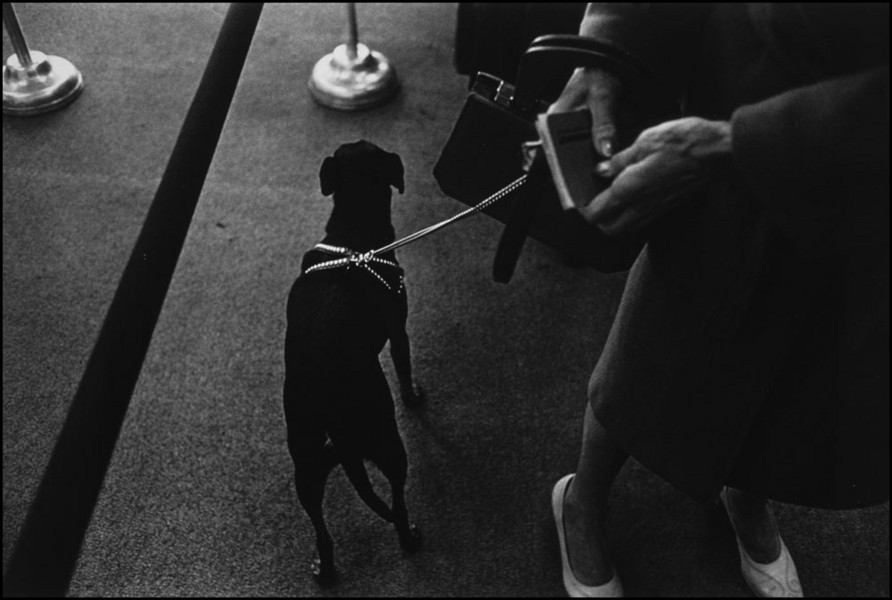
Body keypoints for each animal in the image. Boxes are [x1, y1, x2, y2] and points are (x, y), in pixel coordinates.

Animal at [286, 142, 426, 584]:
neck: (353, 234)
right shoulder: (398, 328)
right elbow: (404, 366)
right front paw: (414, 396)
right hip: (386, 439)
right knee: (396, 500)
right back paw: (408, 536)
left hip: (306, 463)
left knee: (320, 526)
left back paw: (326, 568)